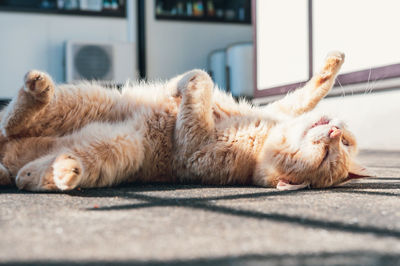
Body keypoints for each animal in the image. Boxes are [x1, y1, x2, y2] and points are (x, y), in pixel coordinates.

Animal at [0, 50, 368, 191]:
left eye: (328, 155)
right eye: (344, 143)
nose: (334, 131)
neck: (262, 136)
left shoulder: (193, 148)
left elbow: (200, 78)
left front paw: (181, 87)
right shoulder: (280, 108)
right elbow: (307, 93)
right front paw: (333, 62)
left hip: (123, 144)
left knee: (14, 136)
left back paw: (54, 169)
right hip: (90, 100)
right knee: (8, 126)